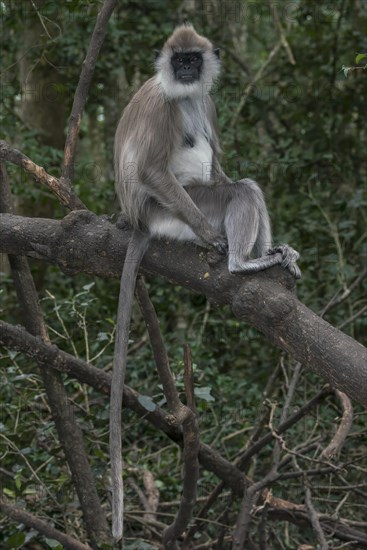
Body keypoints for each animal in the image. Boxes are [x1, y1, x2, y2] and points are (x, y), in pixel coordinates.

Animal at [110, 24, 300, 544]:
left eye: (193, 60)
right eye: (179, 61)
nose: (186, 70)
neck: (184, 94)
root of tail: (139, 220)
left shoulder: (207, 104)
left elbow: (222, 165)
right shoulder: (162, 104)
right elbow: (153, 167)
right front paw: (217, 240)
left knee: (244, 186)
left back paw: (269, 257)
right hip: (169, 211)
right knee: (232, 195)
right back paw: (238, 263)